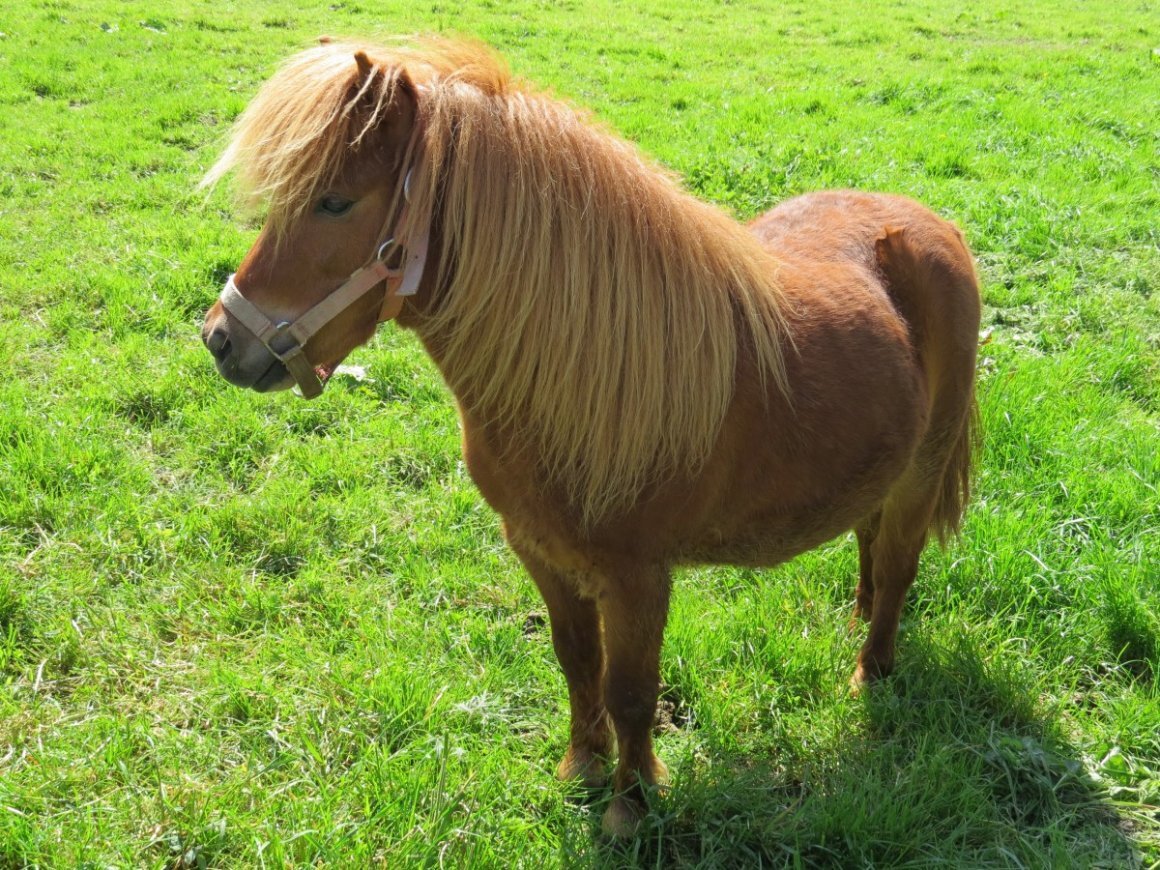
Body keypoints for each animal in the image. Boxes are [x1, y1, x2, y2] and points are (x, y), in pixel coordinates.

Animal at [197, 35, 979, 839]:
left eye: (335, 202)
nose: (222, 340)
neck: (582, 374)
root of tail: (930, 224)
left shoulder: (638, 576)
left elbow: (631, 689)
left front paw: (629, 806)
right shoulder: (538, 550)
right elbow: (577, 662)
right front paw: (582, 767)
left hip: (923, 470)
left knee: (899, 565)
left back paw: (870, 671)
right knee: (868, 538)